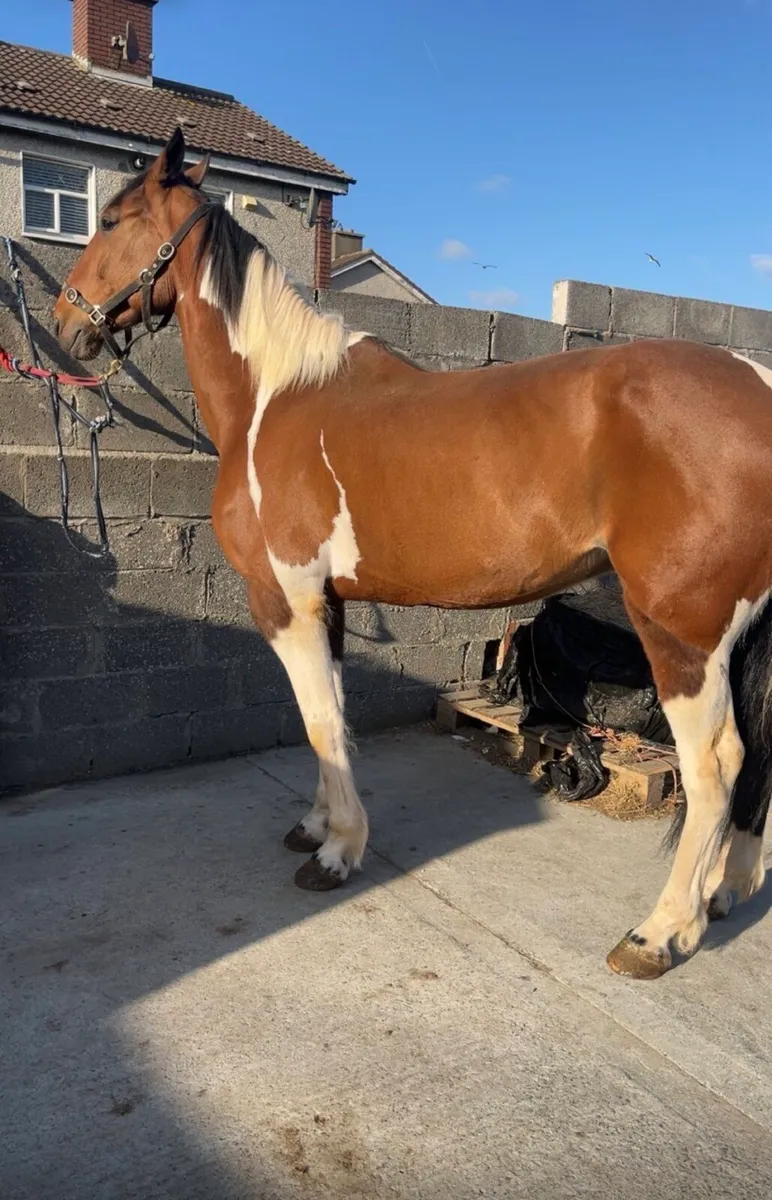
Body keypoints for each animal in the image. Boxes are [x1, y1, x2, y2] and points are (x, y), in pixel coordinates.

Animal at [52, 128, 772, 981]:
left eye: (108, 220)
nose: (63, 326)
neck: (277, 399)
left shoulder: (286, 599)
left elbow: (320, 722)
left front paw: (337, 855)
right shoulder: (327, 602)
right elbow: (329, 715)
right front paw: (317, 826)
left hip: (682, 634)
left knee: (716, 767)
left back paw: (660, 934)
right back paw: (728, 893)